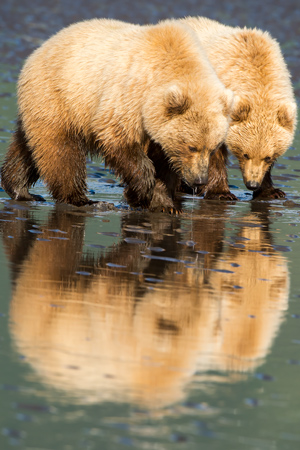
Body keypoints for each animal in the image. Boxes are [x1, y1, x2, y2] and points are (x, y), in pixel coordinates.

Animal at [0, 18, 234, 212]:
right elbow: (117, 136)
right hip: (60, 97)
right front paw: (144, 189)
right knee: (61, 150)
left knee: (27, 145)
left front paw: (163, 204)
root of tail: (41, 47)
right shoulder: (130, 95)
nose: (200, 180)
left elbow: (164, 164)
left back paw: (19, 189)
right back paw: (82, 199)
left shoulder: (158, 129)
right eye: (192, 147)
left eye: (213, 148)